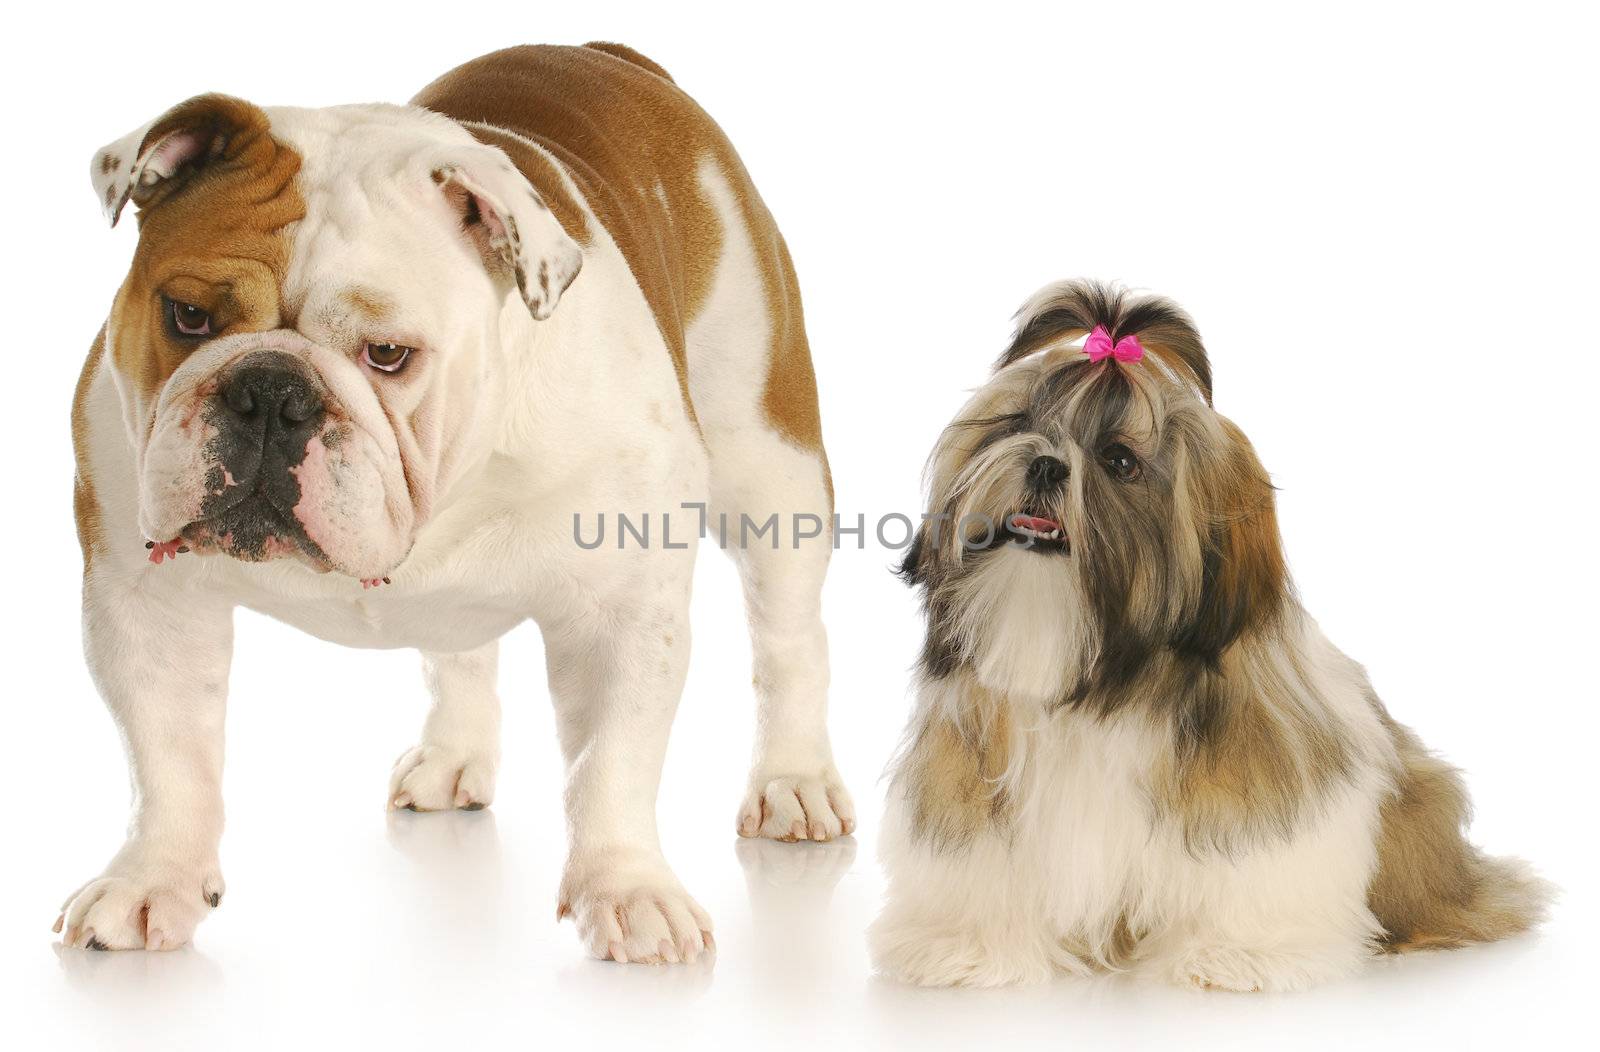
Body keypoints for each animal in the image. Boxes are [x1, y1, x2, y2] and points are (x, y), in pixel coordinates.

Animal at [876, 281, 1548, 991]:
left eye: (1119, 460)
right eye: (1017, 424)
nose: (1047, 465)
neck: (1095, 681)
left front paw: (1236, 954)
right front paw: (966, 945)